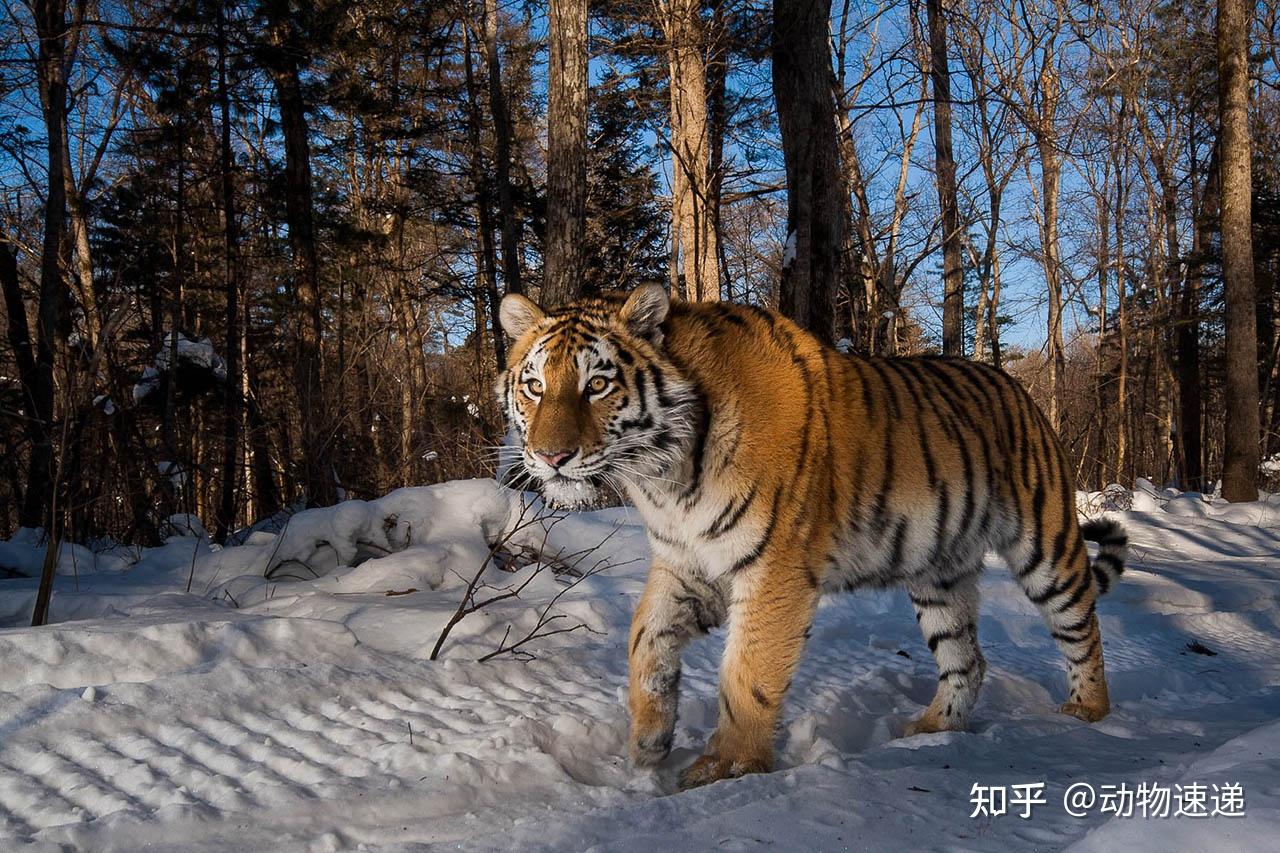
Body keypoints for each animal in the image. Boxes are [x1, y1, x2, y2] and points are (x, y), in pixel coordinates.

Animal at [494, 281, 1126, 788]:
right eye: (534, 386)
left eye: (598, 385)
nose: (550, 457)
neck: (664, 477)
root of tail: (1021, 389)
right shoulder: (686, 564)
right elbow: (644, 641)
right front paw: (648, 743)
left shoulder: (772, 569)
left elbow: (746, 673)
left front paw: (728, 767)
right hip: (939, 573)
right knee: (966, 659)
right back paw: (929, 729)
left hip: (1045, 544)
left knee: (1082, 625)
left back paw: (1087, 714)